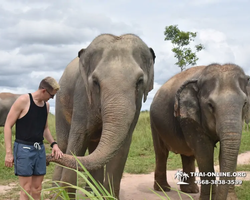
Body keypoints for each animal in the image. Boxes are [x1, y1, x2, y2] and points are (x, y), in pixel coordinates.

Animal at [45, 33, 154, 198]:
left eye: (140, 81)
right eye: (95, 82)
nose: (46, 159)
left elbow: (121, 150)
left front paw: (108, 196)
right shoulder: (82, 96)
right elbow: (77, 141)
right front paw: (64, 195)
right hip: (60, 105)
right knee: (64, 144)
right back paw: (55, 193)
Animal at [149, 63, 249, 200]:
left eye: (245, 103)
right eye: (210, 105)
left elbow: (227, 152)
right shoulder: (190, 116)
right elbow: (204, 152)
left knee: (187, 154)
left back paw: (190, 190)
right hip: (154, 124)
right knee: (162, 153)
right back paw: (163, 189)